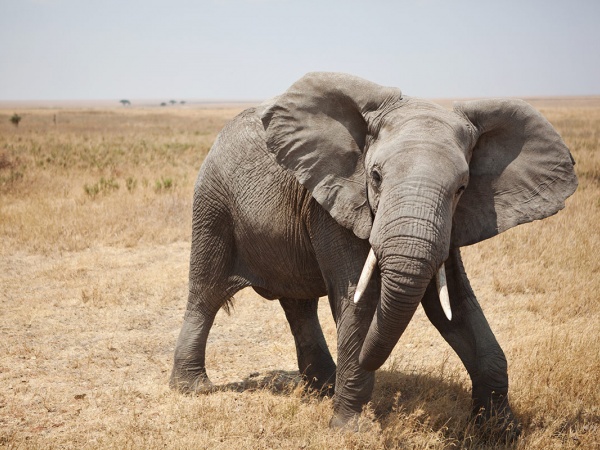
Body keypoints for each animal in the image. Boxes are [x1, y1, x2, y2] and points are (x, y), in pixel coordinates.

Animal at [170, 72, 576, 438]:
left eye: (462, 188)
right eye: (376, 177)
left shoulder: (451, 223)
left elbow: (455, 305)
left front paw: (503, 432)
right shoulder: (337, 199)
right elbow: (359, 302)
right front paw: (349, 432)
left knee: (298, 304)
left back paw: (322, 388)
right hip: (213, 203)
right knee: (206, 292)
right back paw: (193, 388)